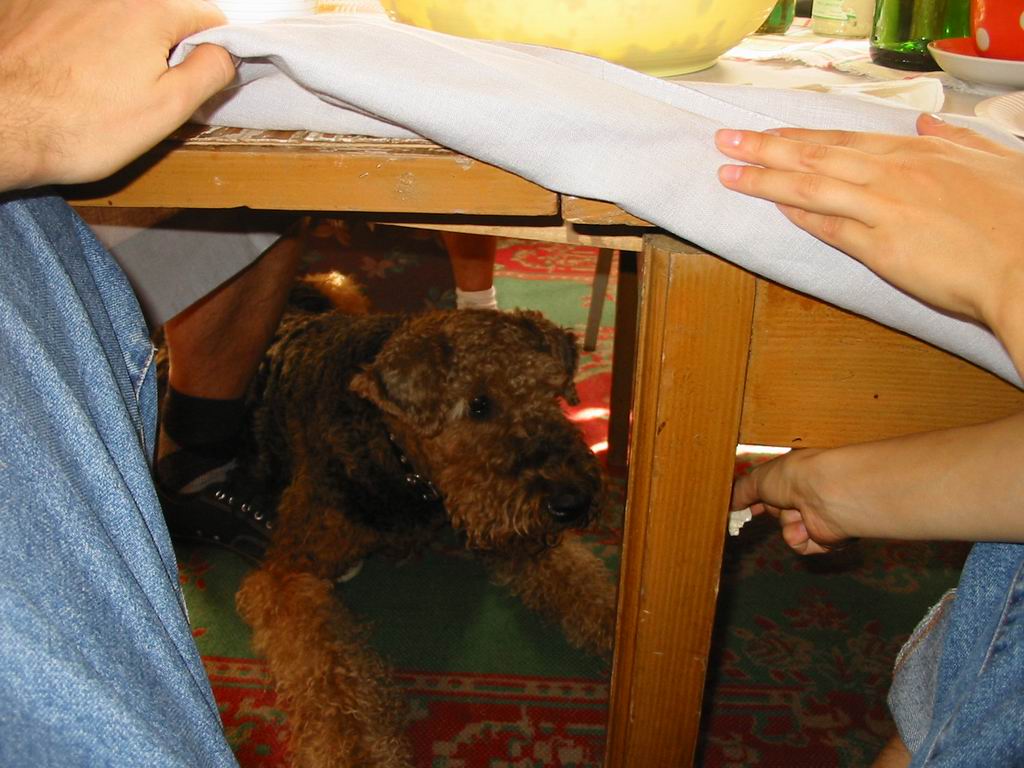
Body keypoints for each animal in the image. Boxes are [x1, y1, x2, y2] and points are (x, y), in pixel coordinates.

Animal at [233, 273, 618, 767]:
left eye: (551, 391)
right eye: (478, 404)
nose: (572, 501)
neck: (399, 455)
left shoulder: (502, 524)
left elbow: (587, 589)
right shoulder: (287, 573)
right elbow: (330, 681)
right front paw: (357, 752)